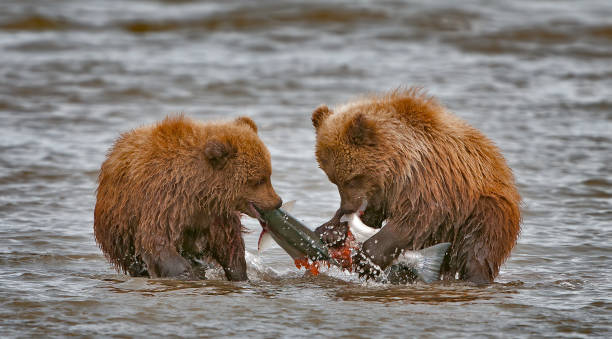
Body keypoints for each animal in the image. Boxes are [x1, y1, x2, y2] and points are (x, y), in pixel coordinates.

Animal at [93, 115, 282, 280]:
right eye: (258, 180)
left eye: (269, 175)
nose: (277, 202)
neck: (199, 190)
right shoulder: (166, 200)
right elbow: (156, 240)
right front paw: (187, 274)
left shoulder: (216, 213)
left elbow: (229, 245)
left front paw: (239, 274)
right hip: (119, 228)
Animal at [316, 89, 520, 286]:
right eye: (334, 180)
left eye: (353, 179)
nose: (347, 208)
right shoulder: (382, 193)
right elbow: (373, 215)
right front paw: (330, 231)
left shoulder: (426, 177)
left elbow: (419, 215)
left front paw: (368, 256)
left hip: (483, 211)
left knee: (477, 251)